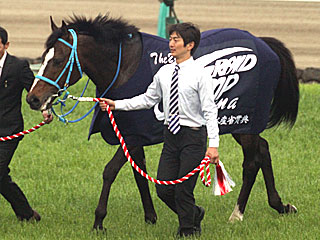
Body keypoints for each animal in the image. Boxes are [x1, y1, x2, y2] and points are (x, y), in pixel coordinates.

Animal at [26, 14, 298, 229]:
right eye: (43, 57)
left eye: (58, 60)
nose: (32, 98)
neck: (124, 68)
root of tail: (265, 44)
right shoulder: (131, 136)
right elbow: (139, 174)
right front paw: (151, 216)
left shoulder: (132, 136)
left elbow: (110, 172)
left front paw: (99, 220)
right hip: (241, 126)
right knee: (263, 149)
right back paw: (280, 205)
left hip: (244, 124)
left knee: (252, 161)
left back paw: (237, 213)